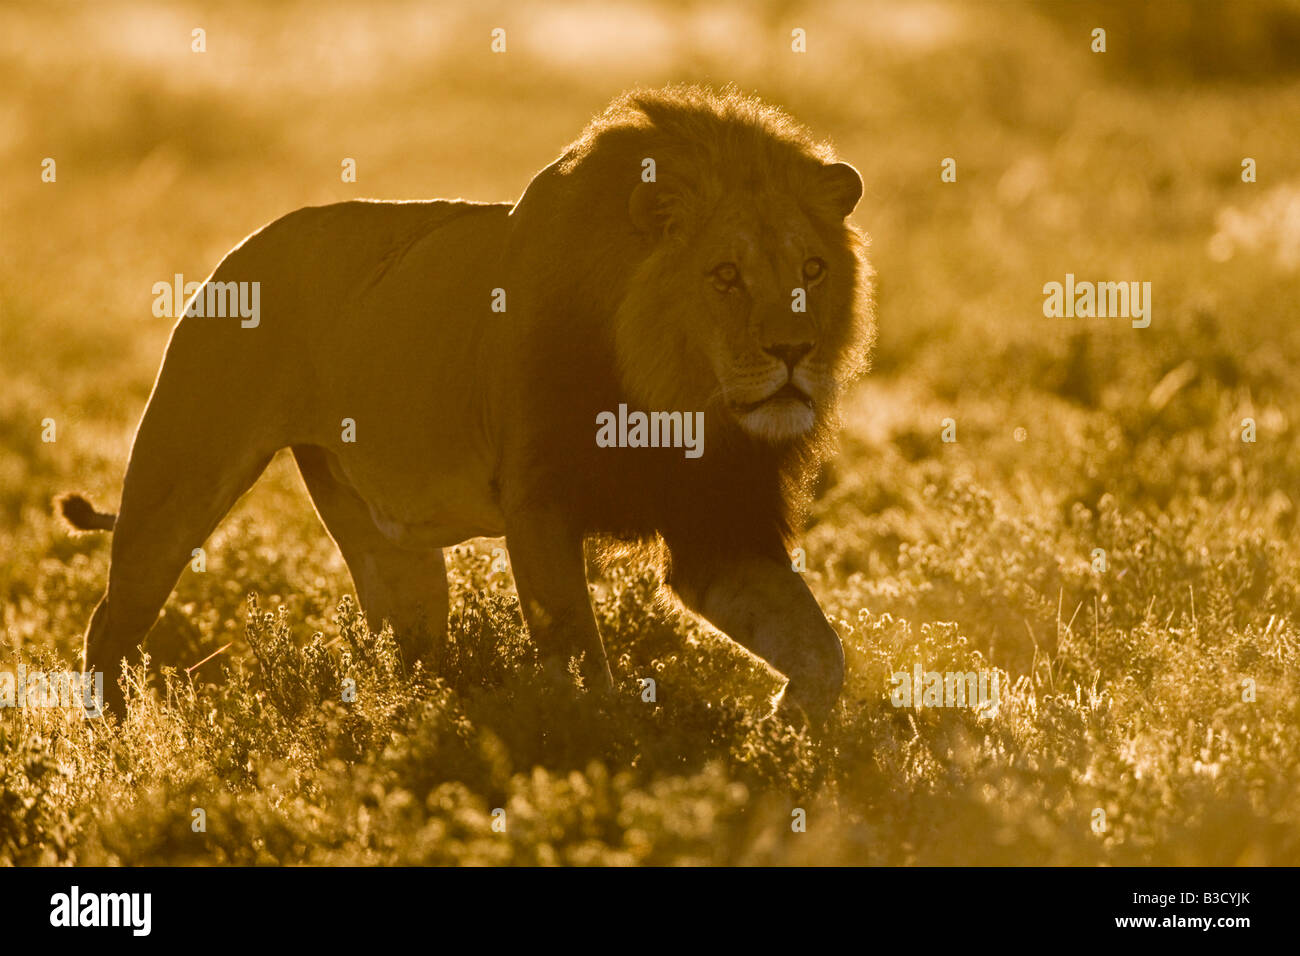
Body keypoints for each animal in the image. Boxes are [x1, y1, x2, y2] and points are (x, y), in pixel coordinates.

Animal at [60, 85, 874, 720]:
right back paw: (117, 744)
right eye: (725, 275)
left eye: (812, 269)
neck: (679, 399)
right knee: (110, 623)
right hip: (177, 481)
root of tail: (240, 250)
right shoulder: (539, 506)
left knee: (405, 643)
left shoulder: (719, 528)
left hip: (388, 546)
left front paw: (786, 728)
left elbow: (821, 649)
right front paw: (611, 742)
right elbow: (582, 659)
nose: (794, 351)